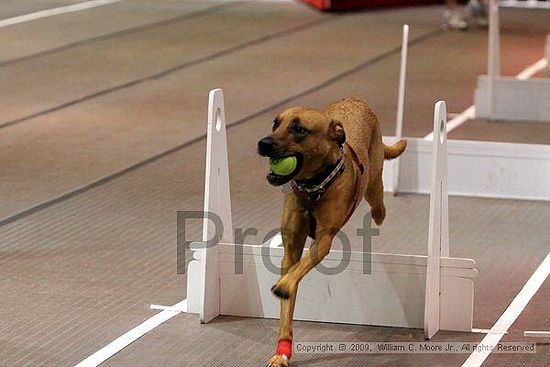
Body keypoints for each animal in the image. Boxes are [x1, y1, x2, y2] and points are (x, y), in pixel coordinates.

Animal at [258, 97, 406, 367]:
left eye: (299, 129)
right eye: (275, 123)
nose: (263, 143)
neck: (314, 187)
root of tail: (355, 100)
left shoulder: (324, 241)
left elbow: (299, 269)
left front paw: (283, 284)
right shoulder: (291, 248)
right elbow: (291, 283)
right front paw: (281, 352)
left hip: (373, 183)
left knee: (378, 198)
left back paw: (379, 213)